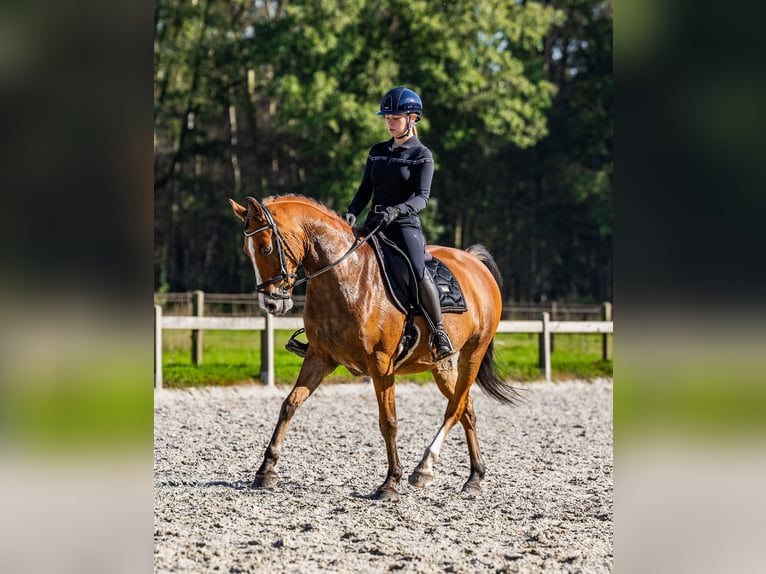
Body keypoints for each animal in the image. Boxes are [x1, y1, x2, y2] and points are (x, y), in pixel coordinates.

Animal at [231, 196, 524, 502]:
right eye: (247, 251)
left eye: (266, 248)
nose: (271, 304)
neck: (346, 277)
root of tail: (473, 262)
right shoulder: (319, 357)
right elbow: (289, 405)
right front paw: (266, 470)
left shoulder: (381, 364)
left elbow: (389, 421)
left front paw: (390, 482)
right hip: (442, 365)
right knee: (467, 408)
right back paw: (474, 477)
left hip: (473, 354)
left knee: (454, 409)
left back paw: (424, 468)